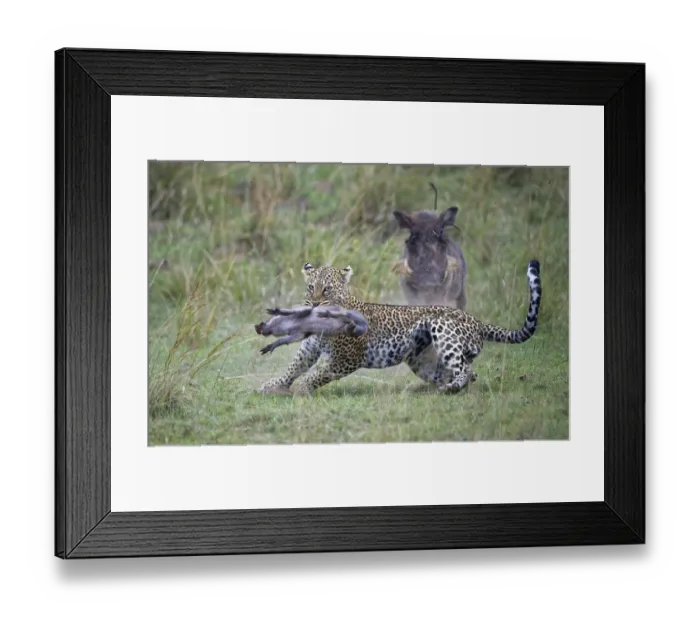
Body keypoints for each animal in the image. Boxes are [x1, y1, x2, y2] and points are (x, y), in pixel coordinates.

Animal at [256, 258, 542, 396]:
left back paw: (449, 389)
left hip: (442, 327)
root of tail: (476, 320)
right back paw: (428, 389)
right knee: (467, 373)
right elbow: (294, 367)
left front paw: (301, 389)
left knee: (464, 370)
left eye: (326, 289)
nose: (313, 303)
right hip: (421, 360)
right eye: (310, 287)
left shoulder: (348, 358)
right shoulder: (310, 348)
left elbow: (318, 374)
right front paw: (271, 385)